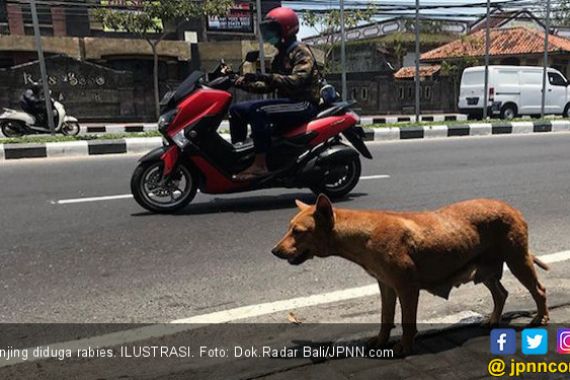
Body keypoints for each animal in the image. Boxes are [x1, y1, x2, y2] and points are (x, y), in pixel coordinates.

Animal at [272, 194, 548, 354]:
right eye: (289, 228)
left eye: (298, 232)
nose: (274, 251)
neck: (362, 234)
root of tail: (512, 207)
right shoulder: (386, 286)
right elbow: (385, 318)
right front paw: (381, 340)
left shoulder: (406, 288)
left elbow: (407, 321)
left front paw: (405, 345)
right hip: (486, 270)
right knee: (501, 293)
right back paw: (493, 319)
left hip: (517, 261)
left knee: (539, 290)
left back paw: (541, 318)